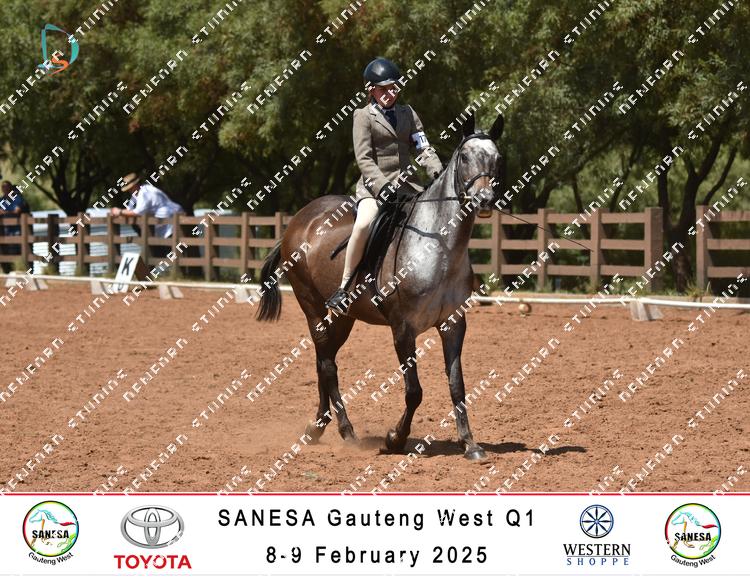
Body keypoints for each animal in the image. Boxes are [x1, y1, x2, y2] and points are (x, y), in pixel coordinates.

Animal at [257, 112, 504, 460]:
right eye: (466, 157)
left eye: (497, 158)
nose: (484, 200)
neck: (439, 246)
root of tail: (298, 220)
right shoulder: (403, 328)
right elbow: (414, 390)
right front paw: (394, 439)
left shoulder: (454, 324)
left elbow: (457, 385)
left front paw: (470, 444)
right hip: (311, 306)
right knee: (327, 365)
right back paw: (347, 432)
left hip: (344, 317)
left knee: (324, 359)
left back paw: (317, 427)